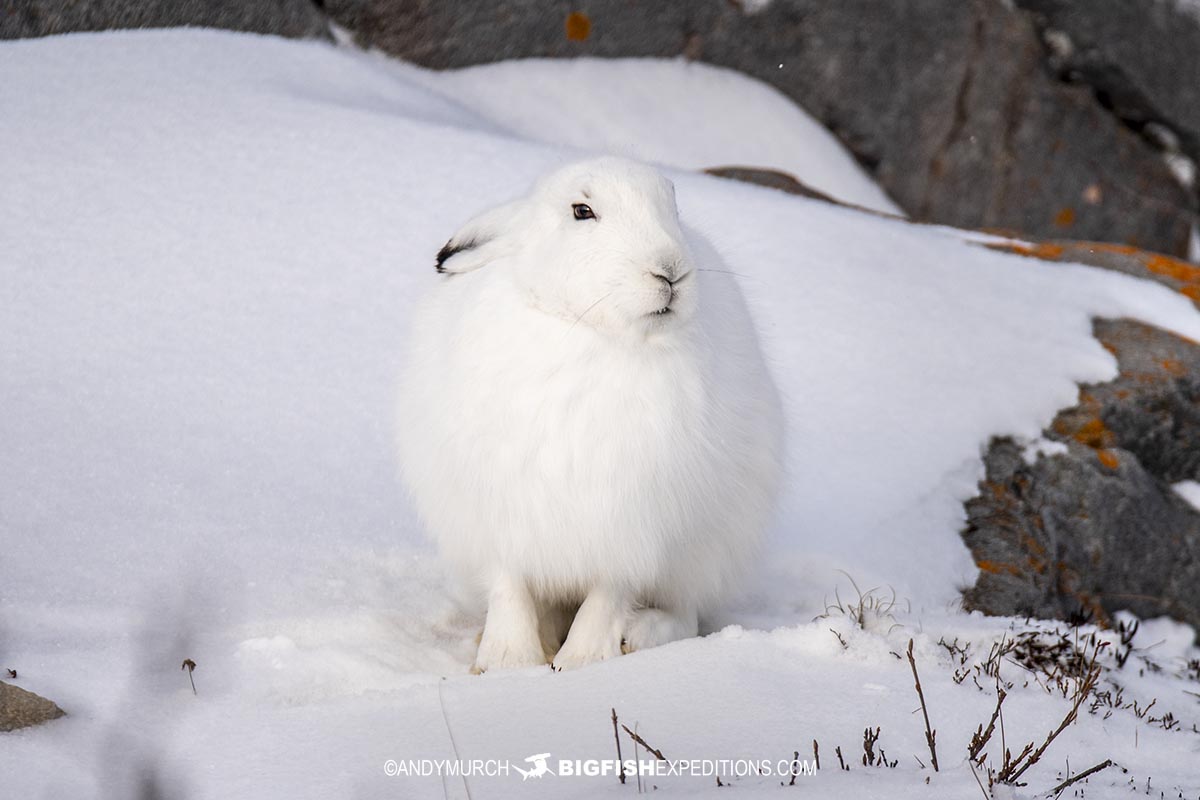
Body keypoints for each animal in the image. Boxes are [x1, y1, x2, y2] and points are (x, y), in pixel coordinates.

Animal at [397, 157, 784, 672]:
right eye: (582, 211)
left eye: (673, 206)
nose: (671, 271)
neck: (584, 327)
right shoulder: (499, 515)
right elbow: (508, 585)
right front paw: (507, 663)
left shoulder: (633, 523)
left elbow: (609, 591)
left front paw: (583, 661)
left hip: (704, 551)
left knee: (685, 614)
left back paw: (636, 636)